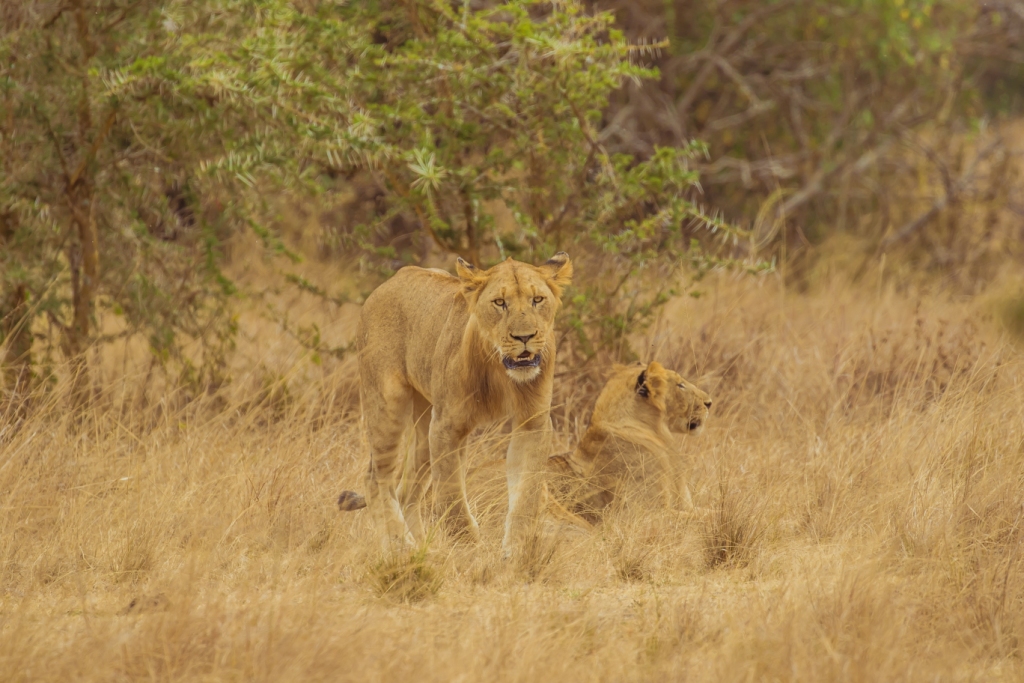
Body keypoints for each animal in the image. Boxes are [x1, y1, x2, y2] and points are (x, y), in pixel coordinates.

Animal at [356, 250, 573, 557]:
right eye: (500, 303)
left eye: (537, 300)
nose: (525, 337)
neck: (500, 372)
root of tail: (394, 278)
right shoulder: (447, 427)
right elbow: (452, 497)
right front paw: (470, 550)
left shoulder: (533, 422)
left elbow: (527, 493)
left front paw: (514, 551)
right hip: (388, 403)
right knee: (376, 480)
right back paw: (402, 547)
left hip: (424, 426)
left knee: (406, 492)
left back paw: (424, 548)